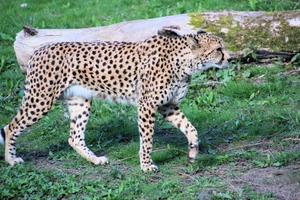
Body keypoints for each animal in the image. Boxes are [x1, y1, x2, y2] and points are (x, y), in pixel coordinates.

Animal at [0, 28, 230, 172]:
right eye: (218, 49)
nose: (230, 58)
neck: (185, 62)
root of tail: (39, 50)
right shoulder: (147, 106)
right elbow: (147, 139)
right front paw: (146, 165)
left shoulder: (168, 106)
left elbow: (191, 128)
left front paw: (193, 152)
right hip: (40, 100)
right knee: (12, 127)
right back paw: (11, 160)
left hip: (80, 101)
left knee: (74, 137)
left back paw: (96, 160)